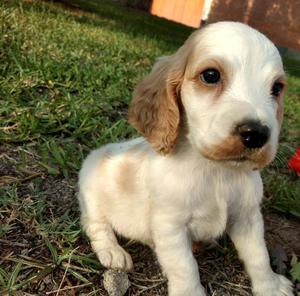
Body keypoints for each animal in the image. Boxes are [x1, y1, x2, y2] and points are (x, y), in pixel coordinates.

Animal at [78, 22, 292, 294]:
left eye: (276, 88)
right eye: (210, 75)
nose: (256, 134)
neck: (215, 169)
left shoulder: (248, 217)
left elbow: (259, 256)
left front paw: (270, 286)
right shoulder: (171, 225)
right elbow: (185, 266)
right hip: (91, 194)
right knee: (96, 225)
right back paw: (113, 252)